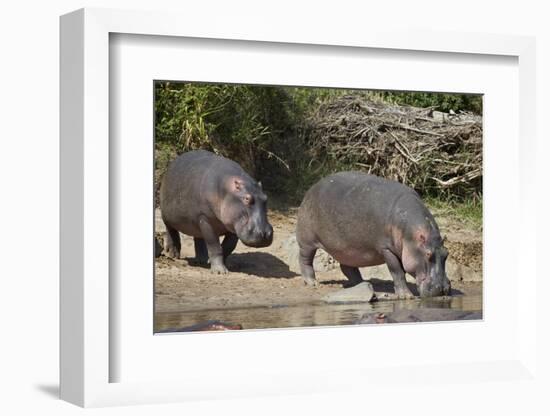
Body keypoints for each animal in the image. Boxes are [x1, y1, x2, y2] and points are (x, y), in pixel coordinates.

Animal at [298, 171, 452, 298]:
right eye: (428, 254)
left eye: (446, 253)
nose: (442, 289)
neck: (411, 237)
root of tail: (312, 188)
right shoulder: (386, 249)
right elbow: (397, 271)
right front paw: (406, 296)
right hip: (307, 241)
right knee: (305, 260)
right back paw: (312, 283)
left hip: (346, 248)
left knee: (347, 267)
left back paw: (360, 283)